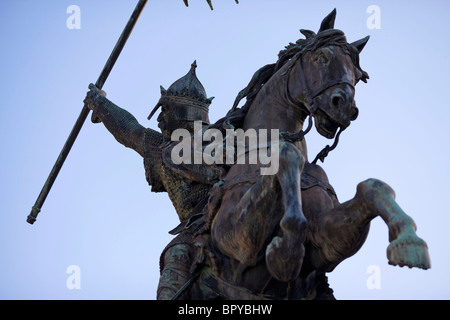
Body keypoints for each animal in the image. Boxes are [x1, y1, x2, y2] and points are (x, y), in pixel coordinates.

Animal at [187, 10, 428, 300]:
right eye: (321, 57)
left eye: (359, 76)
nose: (344, 108)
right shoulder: (233, 241)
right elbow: (288, 155)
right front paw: (285, 254)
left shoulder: (323, 244)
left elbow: (372, 188)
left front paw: (408, 240)